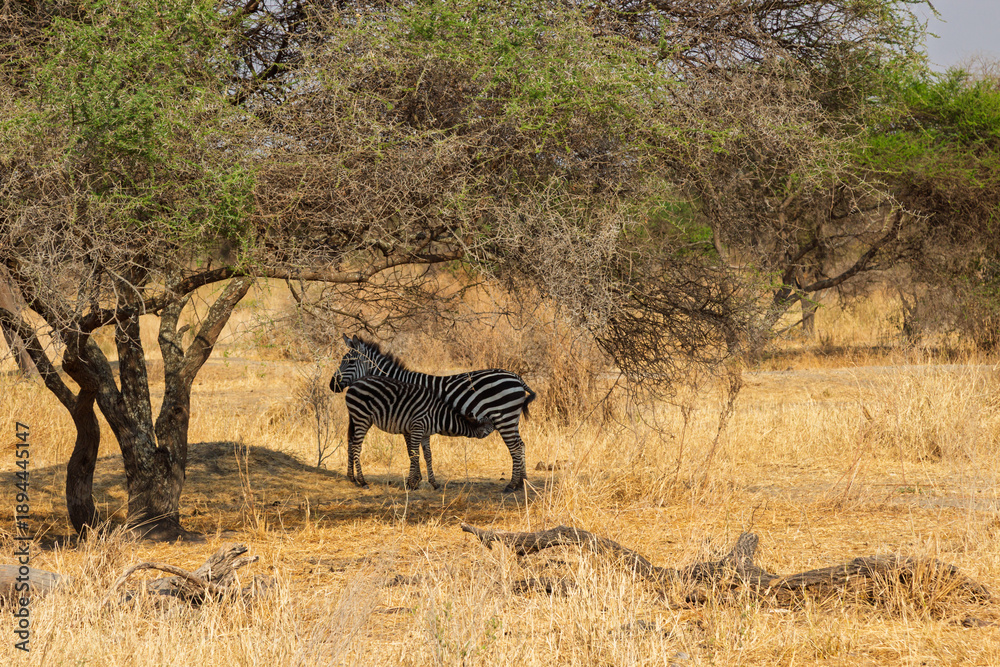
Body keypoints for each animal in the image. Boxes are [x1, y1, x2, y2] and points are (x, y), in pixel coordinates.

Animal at [333, 375, 494, 490]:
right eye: (492, 426)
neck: (439, 416)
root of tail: (355, 382)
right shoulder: (417, 427)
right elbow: (415, 454)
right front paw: (411, 483)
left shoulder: (425, 433)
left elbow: (428, 456)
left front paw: (433, 483)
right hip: (362, 417)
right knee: (356, 446)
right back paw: (362, 481)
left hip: (357, 418)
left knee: (351, 442)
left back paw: (352, 477)